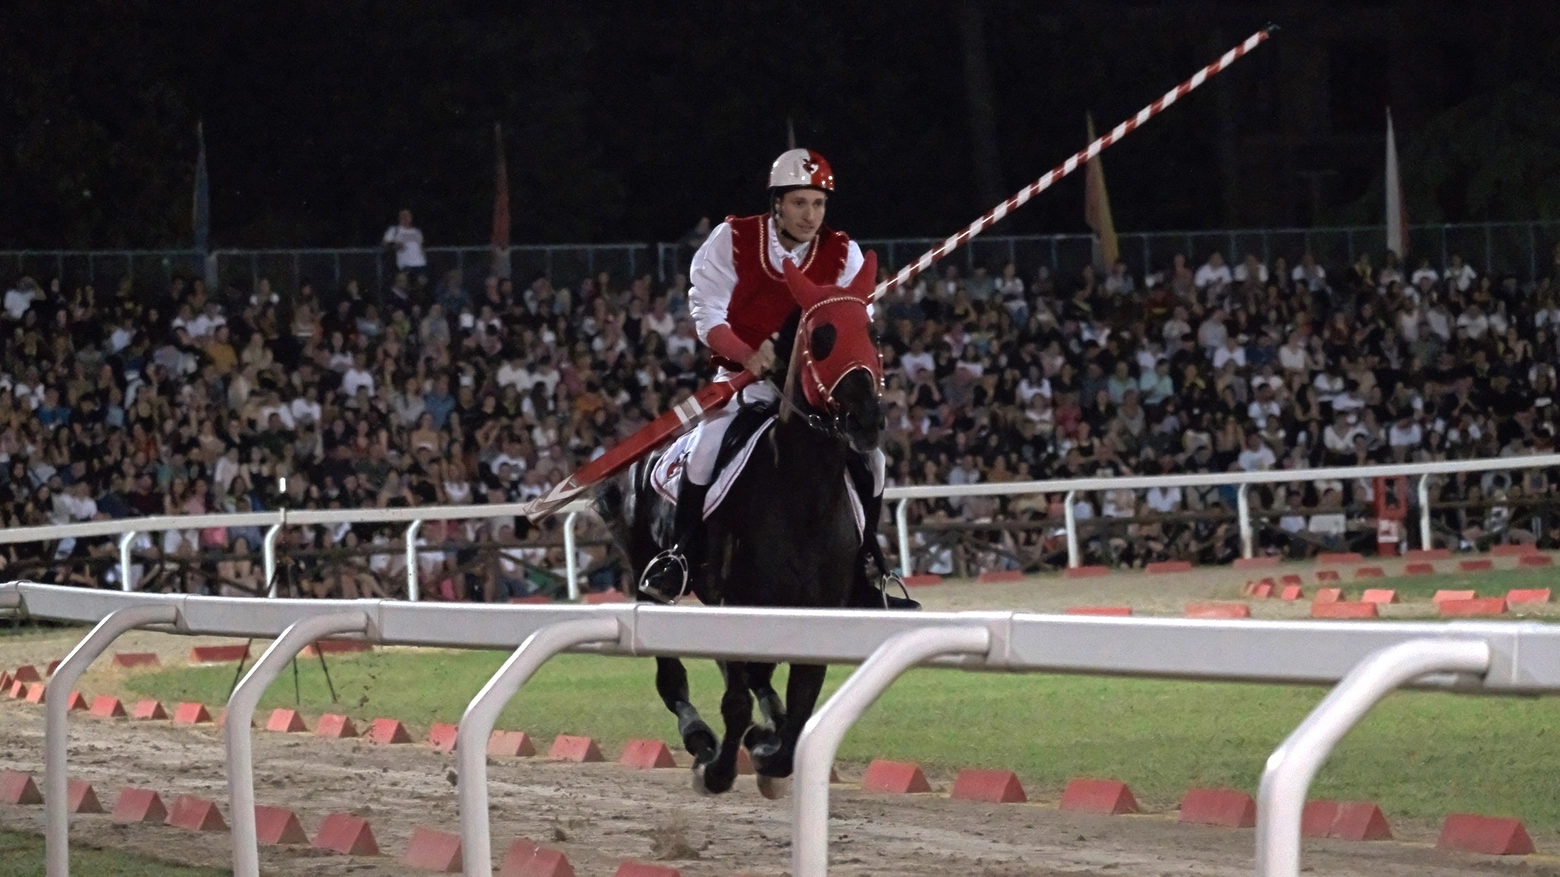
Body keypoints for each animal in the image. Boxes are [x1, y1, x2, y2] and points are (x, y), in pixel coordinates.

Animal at [595, 251, 892, 792]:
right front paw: (718, 768)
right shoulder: (738, 599)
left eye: (871, 331)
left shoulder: (816, 611)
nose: (866, 420)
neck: (801, 494)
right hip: (648, 570)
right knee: (672, 669)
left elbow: (799, 704)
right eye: (822, 337)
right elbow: (736, 699)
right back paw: (697, 734)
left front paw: (772, 753)